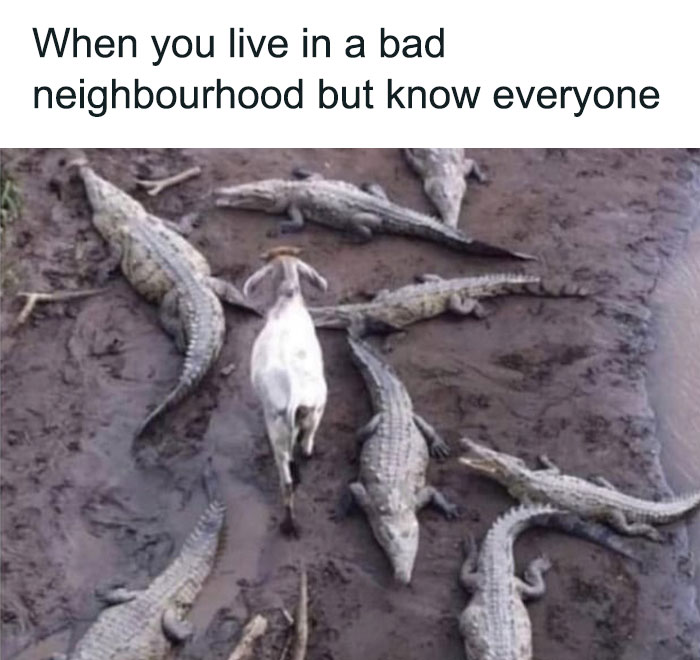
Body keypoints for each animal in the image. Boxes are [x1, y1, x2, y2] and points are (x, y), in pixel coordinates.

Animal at [244, 247, 328, 535]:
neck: (287, 303)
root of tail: (295, 394)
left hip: (277, 430)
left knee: (287, 479)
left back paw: (288, 524)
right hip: (316, 410)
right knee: (307, 443)